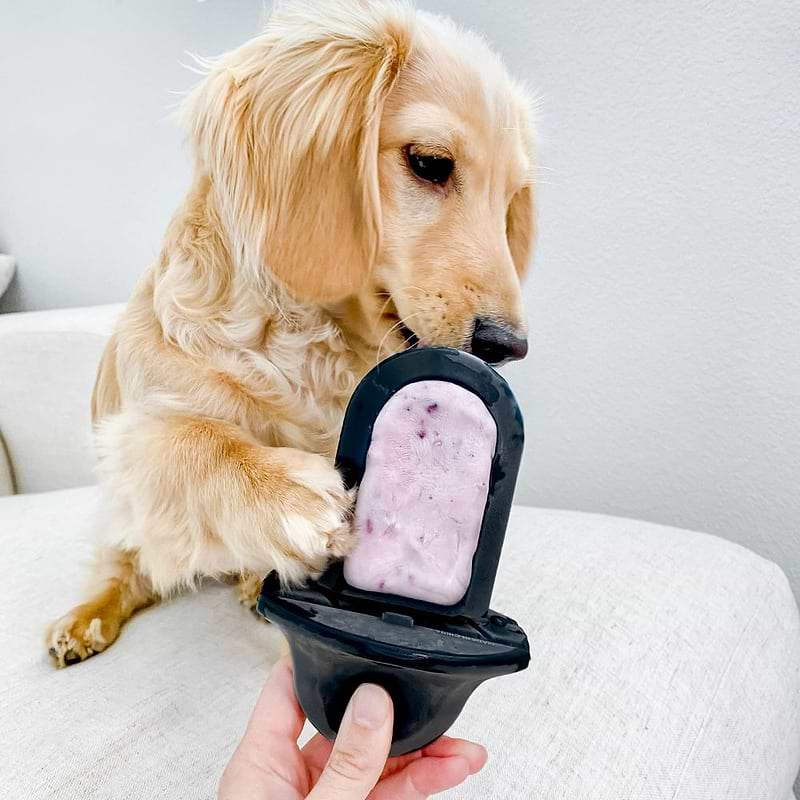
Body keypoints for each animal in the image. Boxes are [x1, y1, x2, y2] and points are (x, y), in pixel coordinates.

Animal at [50, 0, 536, 668]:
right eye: (430, 163)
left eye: (510, 198)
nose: (507, 346)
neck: (308, 341)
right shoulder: (132, 434)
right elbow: (191, 439)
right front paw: (288, 495)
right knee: (130, 569)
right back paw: (86, 620)